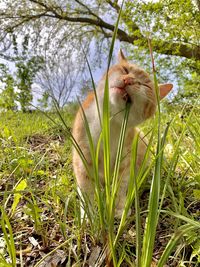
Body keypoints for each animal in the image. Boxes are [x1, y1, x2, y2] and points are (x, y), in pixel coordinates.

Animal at [72, 49, 173, 218]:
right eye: (125, 70)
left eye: (145, 85)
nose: (129, 80)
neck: (109, 123)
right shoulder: (83, 157)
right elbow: (87, 192)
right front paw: (88, 216)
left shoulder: (125, 160)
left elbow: (120, 186)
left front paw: (119, 208)